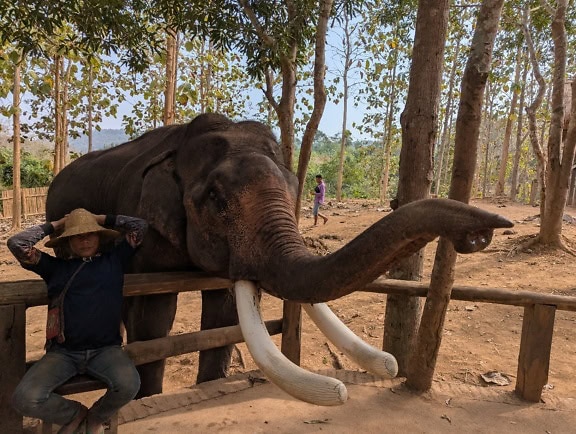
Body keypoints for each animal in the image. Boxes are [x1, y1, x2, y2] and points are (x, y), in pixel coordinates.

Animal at [46, 112, 512, 400]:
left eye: (293, 188)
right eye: (215, 200)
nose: (480, 234)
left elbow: (223, 315)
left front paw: (209, 384)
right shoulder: (144, 228)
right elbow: (155, 317)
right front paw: (146, 396)